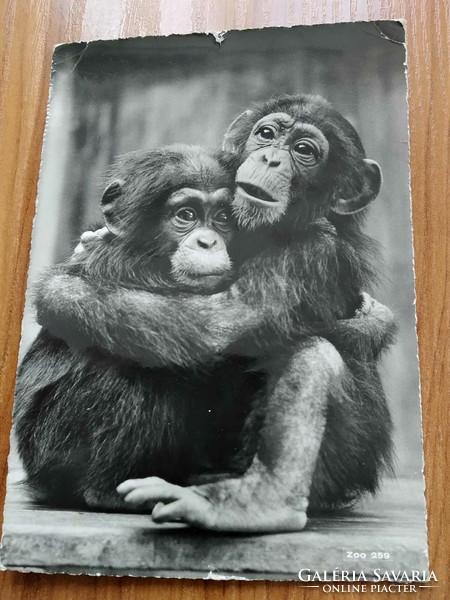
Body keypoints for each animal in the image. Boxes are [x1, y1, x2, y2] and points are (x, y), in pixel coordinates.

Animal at [15, 96, 396, 532]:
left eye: (304, 150)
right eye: (267, 134)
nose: (271, 158)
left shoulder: (312, 254)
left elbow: (215, 324)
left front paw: (58, 292)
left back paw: (259, 500)